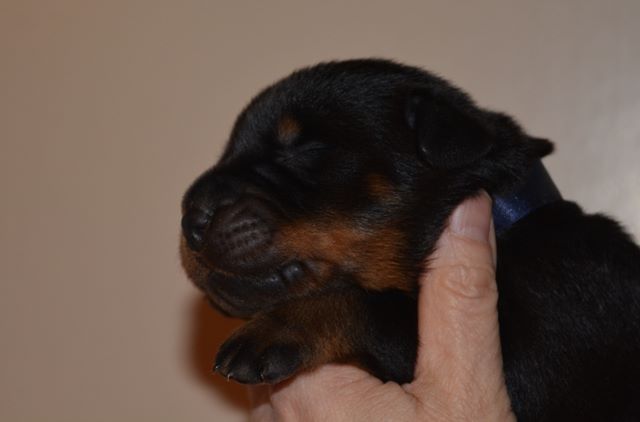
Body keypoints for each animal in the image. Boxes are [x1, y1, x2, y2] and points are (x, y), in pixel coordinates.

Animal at [180, 59, 640, 421]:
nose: (191, 217)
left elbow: (372, 304)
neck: (503, 226)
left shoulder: (542, 345)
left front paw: (274, 328)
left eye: (306, 149)